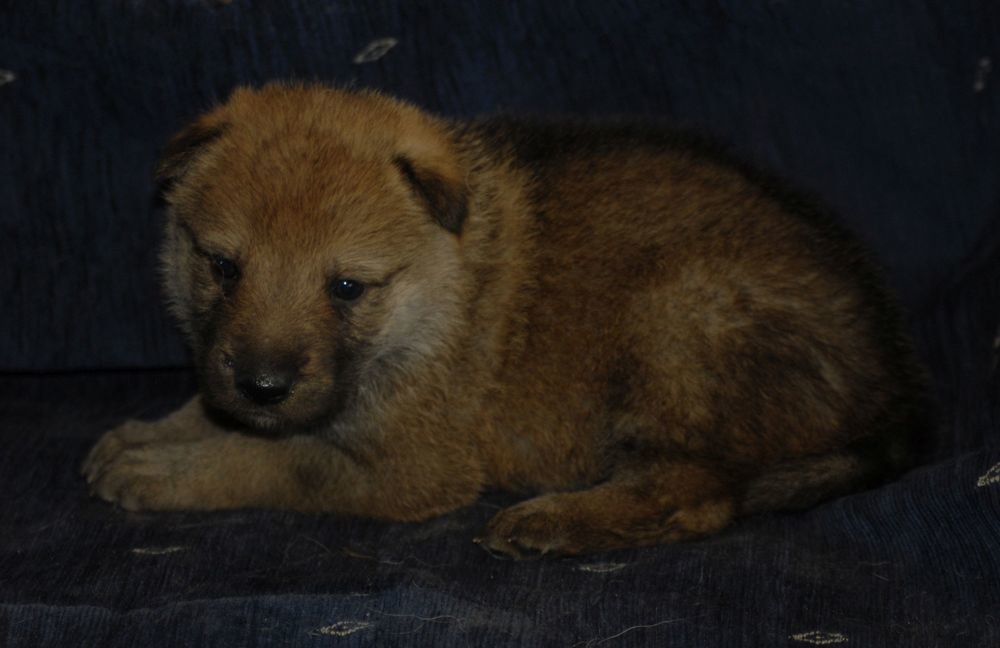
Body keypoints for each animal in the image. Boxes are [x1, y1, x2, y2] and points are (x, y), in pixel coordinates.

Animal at [82, 83, 929, 558]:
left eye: (348, 287)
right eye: (223, 267)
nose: (262, 385)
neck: (435, 298)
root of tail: (895, 383)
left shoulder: (410, 467)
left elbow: (276, 461)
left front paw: (164, 472)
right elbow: (220, 414)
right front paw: (151, 435)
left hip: (681, 316)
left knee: (694, 495)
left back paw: (554, 521)